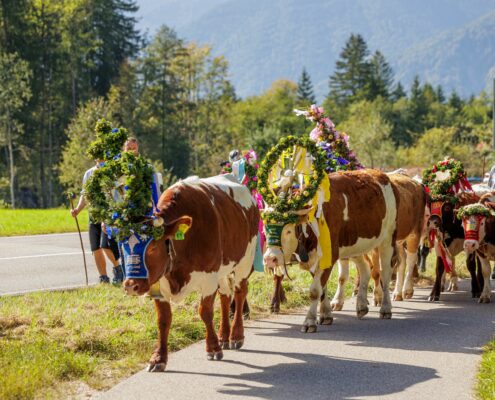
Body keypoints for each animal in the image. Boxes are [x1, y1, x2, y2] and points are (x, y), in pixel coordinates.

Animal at [122, 175, 260, 372]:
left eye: (153, 246)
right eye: (123, 245)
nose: (130, 285)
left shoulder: (209, 277)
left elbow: (205, 312)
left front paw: (213, 348)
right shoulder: (159, 284)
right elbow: (163, 320)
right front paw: (158, 358)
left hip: (245, 259)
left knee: (240, 293)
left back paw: (235, 336)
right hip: (223, 269)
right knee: (225, 296)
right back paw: (224, 336)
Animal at [264, 170, 400, 332]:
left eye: (288, 230)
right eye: (266, 227)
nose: (270, 259)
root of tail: (382, 175)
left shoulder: (328, 255)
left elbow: (315, 291)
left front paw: (309, 321)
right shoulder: (316, 259)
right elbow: (322, 289)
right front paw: (326, 315)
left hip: (387, 240)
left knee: (385, 274)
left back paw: (385, 308)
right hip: (354, 245)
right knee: (365, 269)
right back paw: (361, 305)